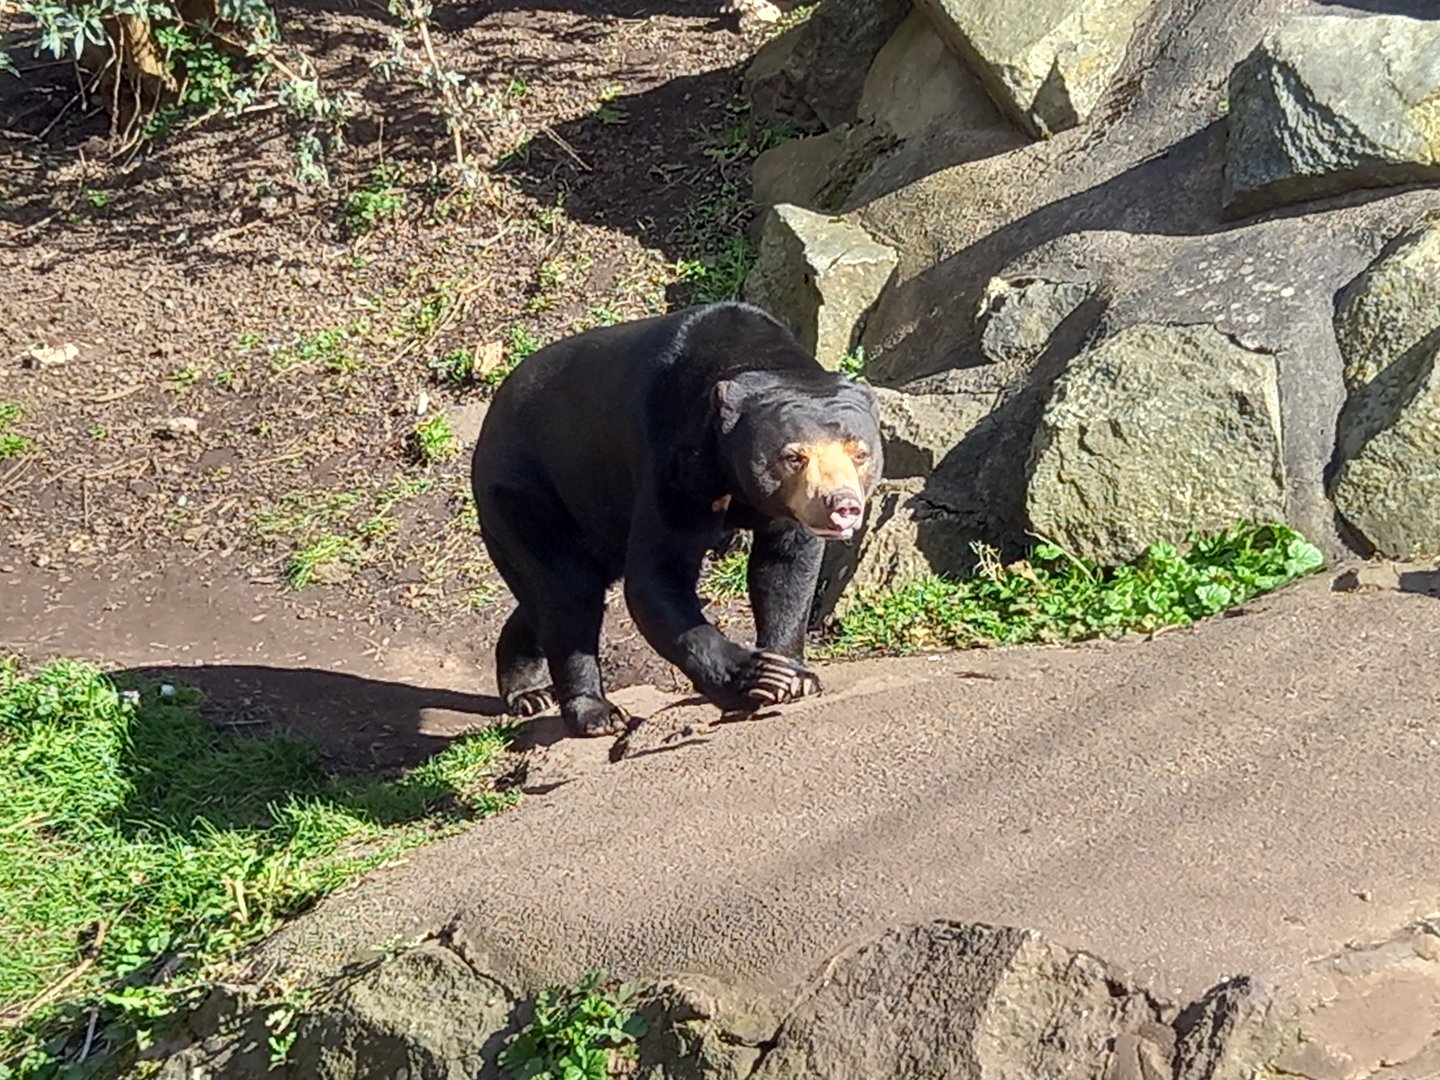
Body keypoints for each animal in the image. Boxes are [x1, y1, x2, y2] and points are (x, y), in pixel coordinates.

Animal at [470, 301, 884, 737]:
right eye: (793, 456)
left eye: (860, 452)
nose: (841, 504)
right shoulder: (675, 464)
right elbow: (658, 577)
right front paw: (755, 678)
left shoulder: (781, 510)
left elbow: (786, 569)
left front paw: (794, 676)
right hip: (527, 494)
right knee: (568, 593)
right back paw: (595, 712)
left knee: (548, 597)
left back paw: (528, 689)